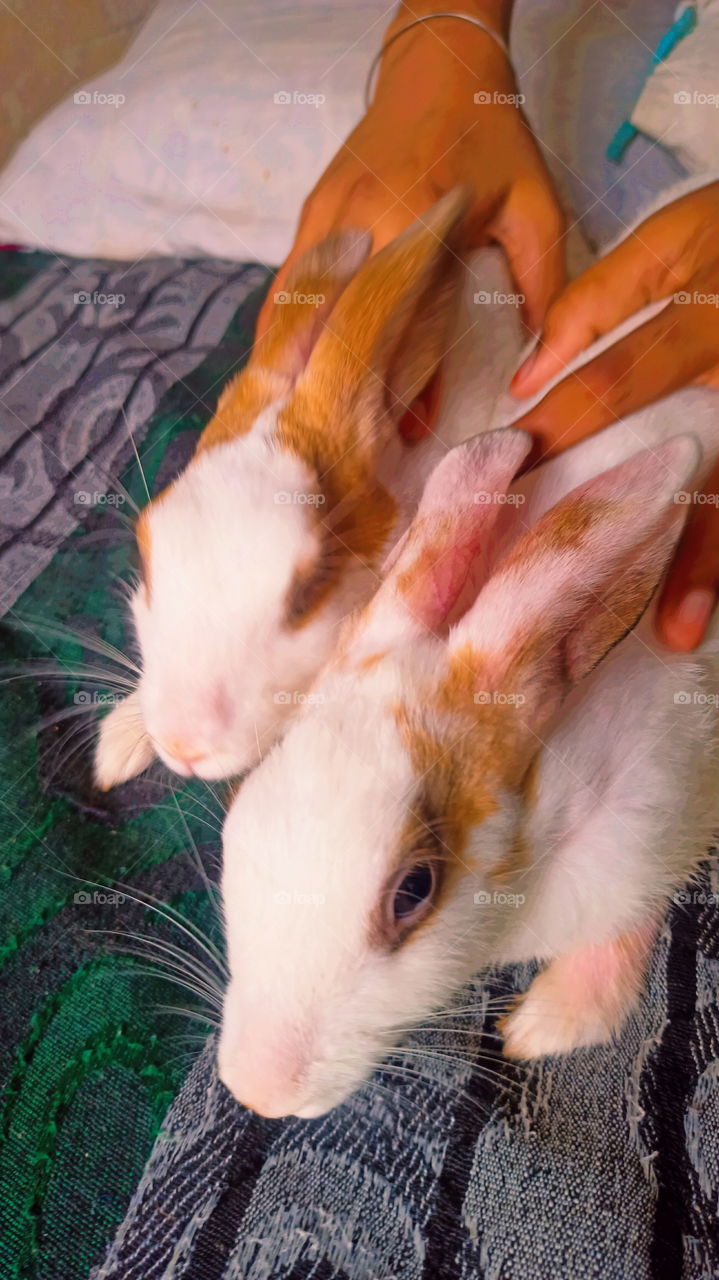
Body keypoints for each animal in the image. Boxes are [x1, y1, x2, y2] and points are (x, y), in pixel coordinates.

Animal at [216, 421, 719, 1119]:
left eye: (414, 890)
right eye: (243, 805)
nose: (257, 1090)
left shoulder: (654, 810)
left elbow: (628, 921)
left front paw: (544, 1026)